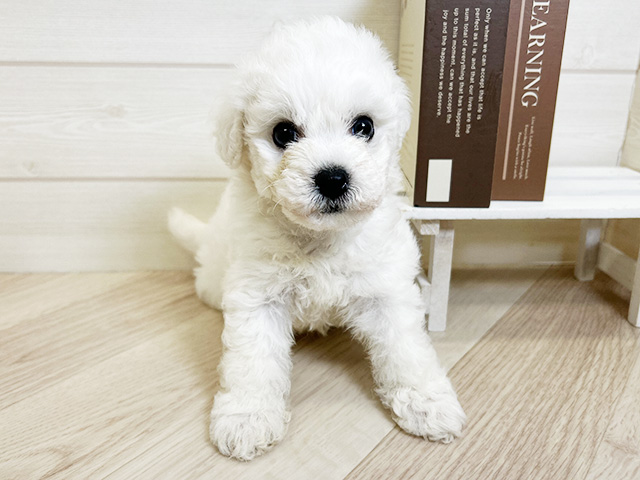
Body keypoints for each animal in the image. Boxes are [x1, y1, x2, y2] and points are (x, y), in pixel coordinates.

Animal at [169, 16, 466, 461]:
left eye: (364, 126)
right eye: (283, 133)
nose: (332, 177)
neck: (320, 239)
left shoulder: (387, 287)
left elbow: (406, 348)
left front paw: (428, 403)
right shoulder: (257, 294)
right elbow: (252, 360)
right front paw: (247, 418)